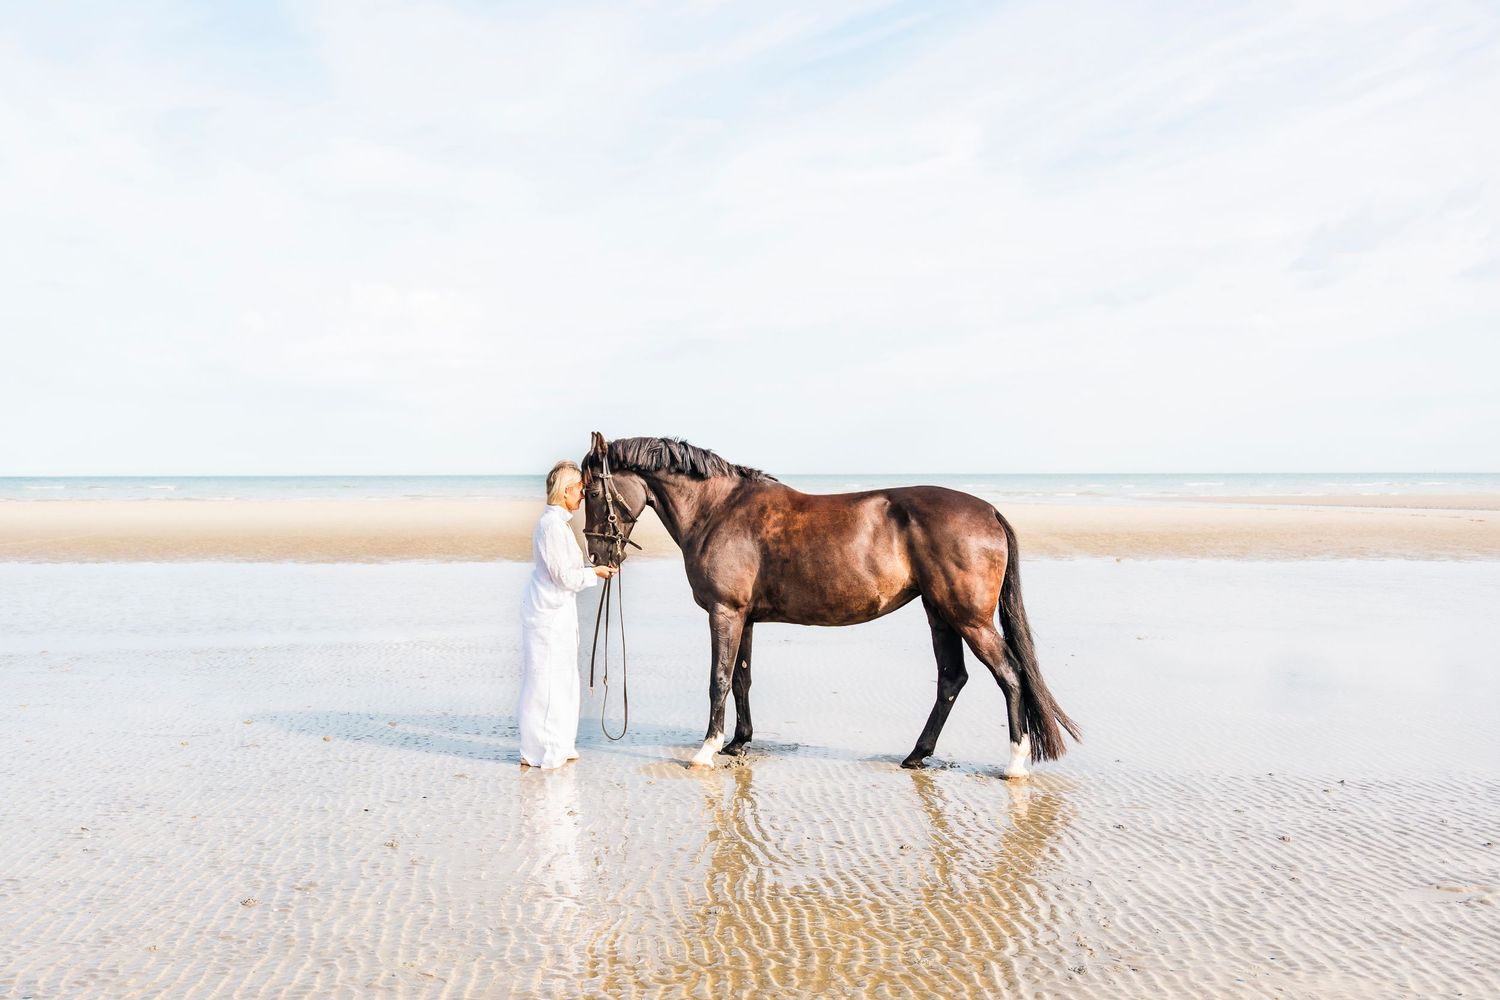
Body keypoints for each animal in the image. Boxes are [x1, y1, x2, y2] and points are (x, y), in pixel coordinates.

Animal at [579, 433, 1080, 777]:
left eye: (591, 492)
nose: (598, 558)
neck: (718, 510)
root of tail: (988, 510)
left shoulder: (725, 612)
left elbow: (719, 679)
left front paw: (706, 750)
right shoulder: (746, 618)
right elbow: (742, 679)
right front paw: (739, 743)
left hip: (969, 619)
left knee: (1009, 676)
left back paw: (1014, 763)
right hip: (940, 615)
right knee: (951, 679)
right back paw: (916, 755)